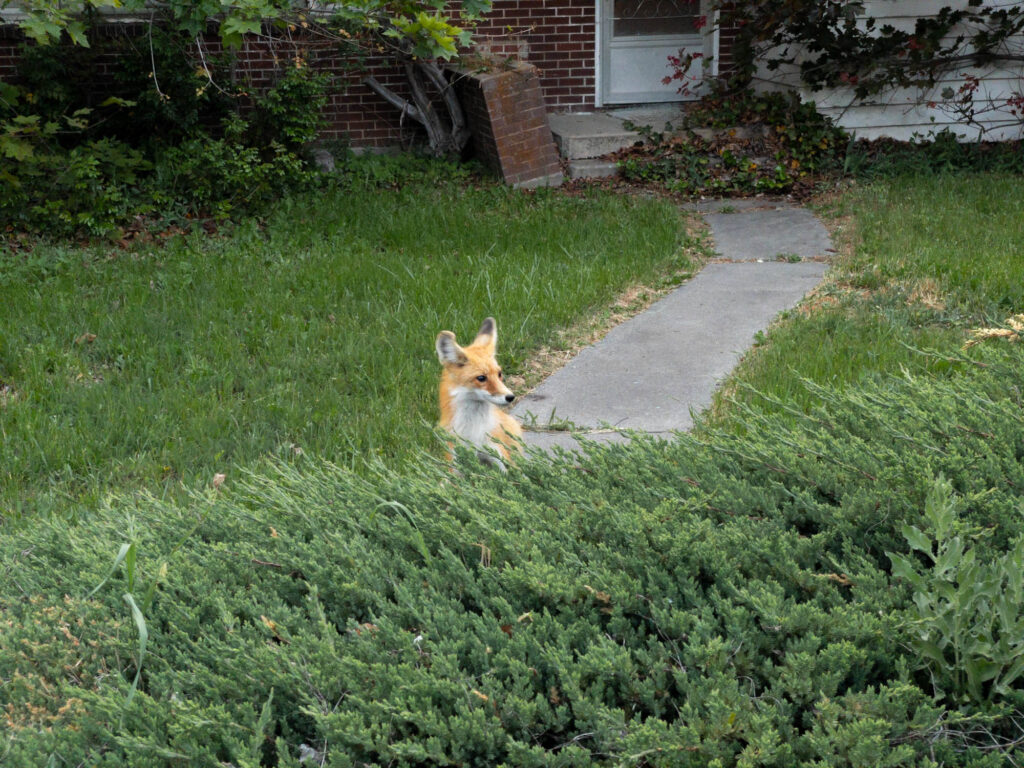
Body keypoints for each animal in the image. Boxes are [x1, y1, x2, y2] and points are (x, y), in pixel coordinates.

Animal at [435, 317, 522, 468]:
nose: (510, 397)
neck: (474, 434)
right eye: (481, 378)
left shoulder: (499, 456)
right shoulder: (454, 463)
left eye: (499, 374)